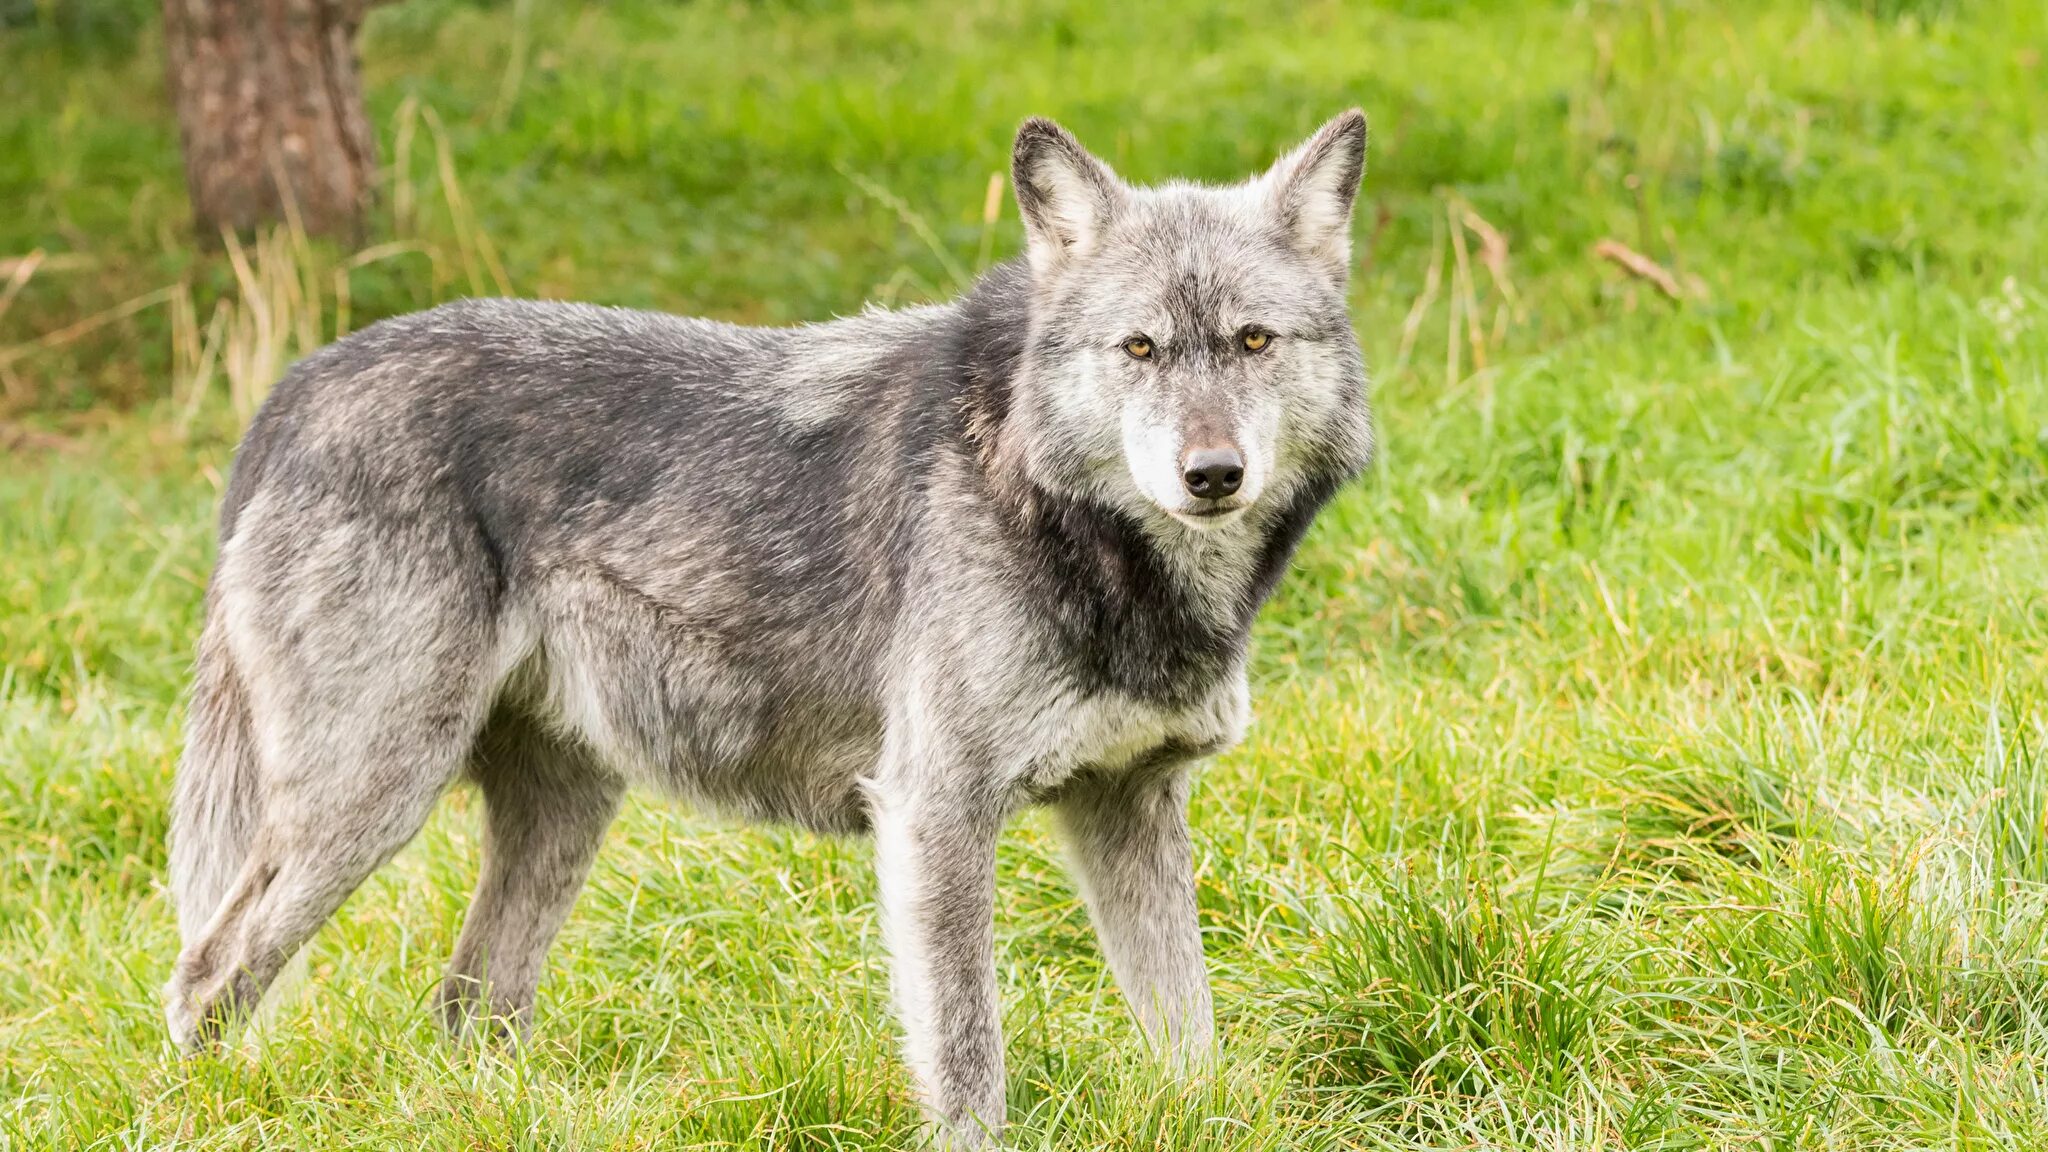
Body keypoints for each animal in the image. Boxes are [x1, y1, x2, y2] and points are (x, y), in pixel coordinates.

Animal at [159, 107, 1376, 1139]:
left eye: (1253, 342)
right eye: (1139, 349)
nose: (1211, 474)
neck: (1062, 517)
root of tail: (298, 385)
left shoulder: (1128, 807)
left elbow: (1190, 1035)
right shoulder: (934, 815)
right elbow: (968, 1061)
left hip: (560, 817)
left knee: (463, 1005)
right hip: (369, 803)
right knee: (204, 974)